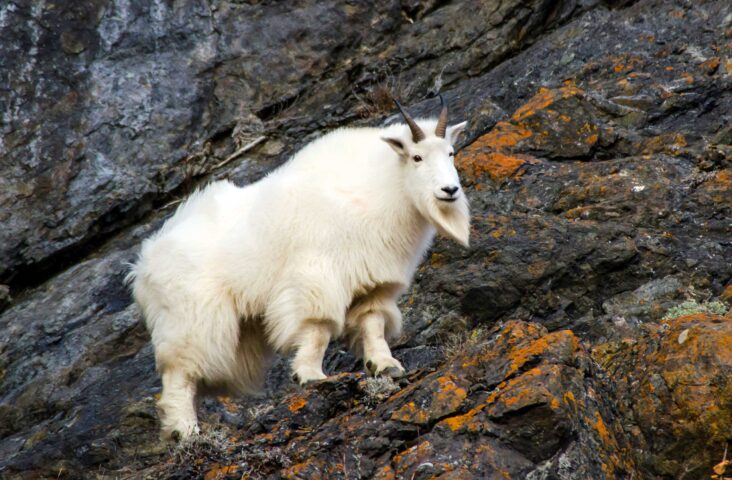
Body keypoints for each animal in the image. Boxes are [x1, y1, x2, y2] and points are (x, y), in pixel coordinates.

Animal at [129, 97, 469, 440]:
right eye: (416, 156)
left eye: (451, 153)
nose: (449, 190)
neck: (380, 189)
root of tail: (143, 266)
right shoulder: (316, 275)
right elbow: (318, 328)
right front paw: (310, 375)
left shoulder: (374, 282)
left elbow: (373, 323)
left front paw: (385, 365)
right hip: (190, 319)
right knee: (181, 371)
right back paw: (185, 431)